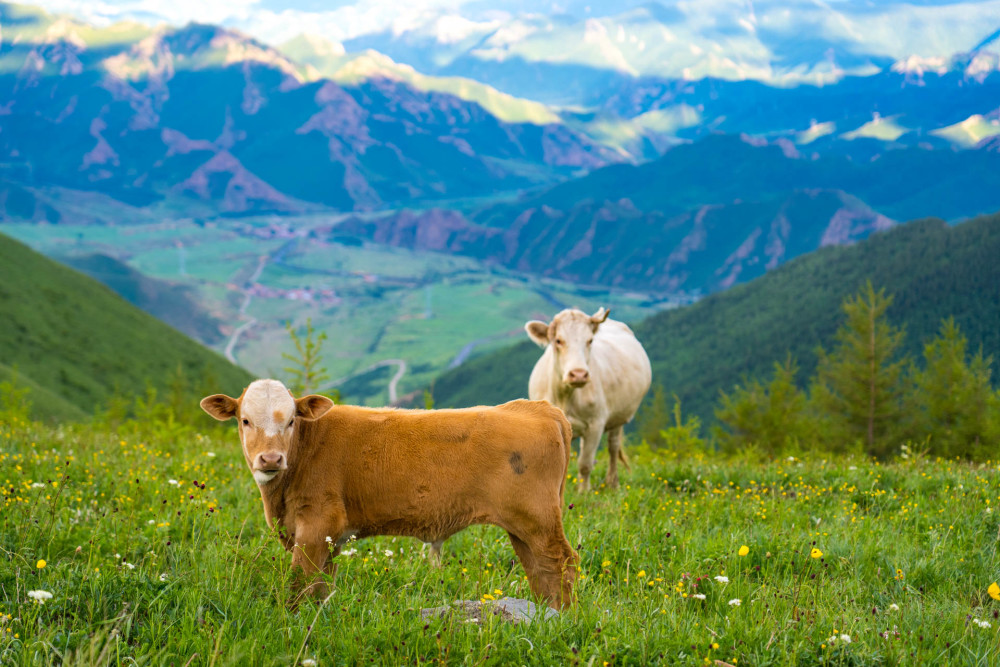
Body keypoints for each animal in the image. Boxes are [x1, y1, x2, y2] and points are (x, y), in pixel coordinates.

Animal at [201, 378, 580, 608]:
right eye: (245, 420)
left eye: (292, 420)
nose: (270, 458)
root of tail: (539, 407)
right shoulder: (329, 536)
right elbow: (322, 583)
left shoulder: (318, 520)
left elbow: (300, 580)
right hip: (522, 525)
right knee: (538, 568)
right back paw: (546, 615)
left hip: (537, 519)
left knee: (561, 561)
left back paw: (562, 619)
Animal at [528, 308, 652, 490]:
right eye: (558, 341)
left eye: (590, 340)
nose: (578, 374)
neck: (565, 395)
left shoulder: (596, 424)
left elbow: (585, 464)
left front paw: (584, 492)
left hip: (619, 417)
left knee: (613, 446)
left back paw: (612, 482)